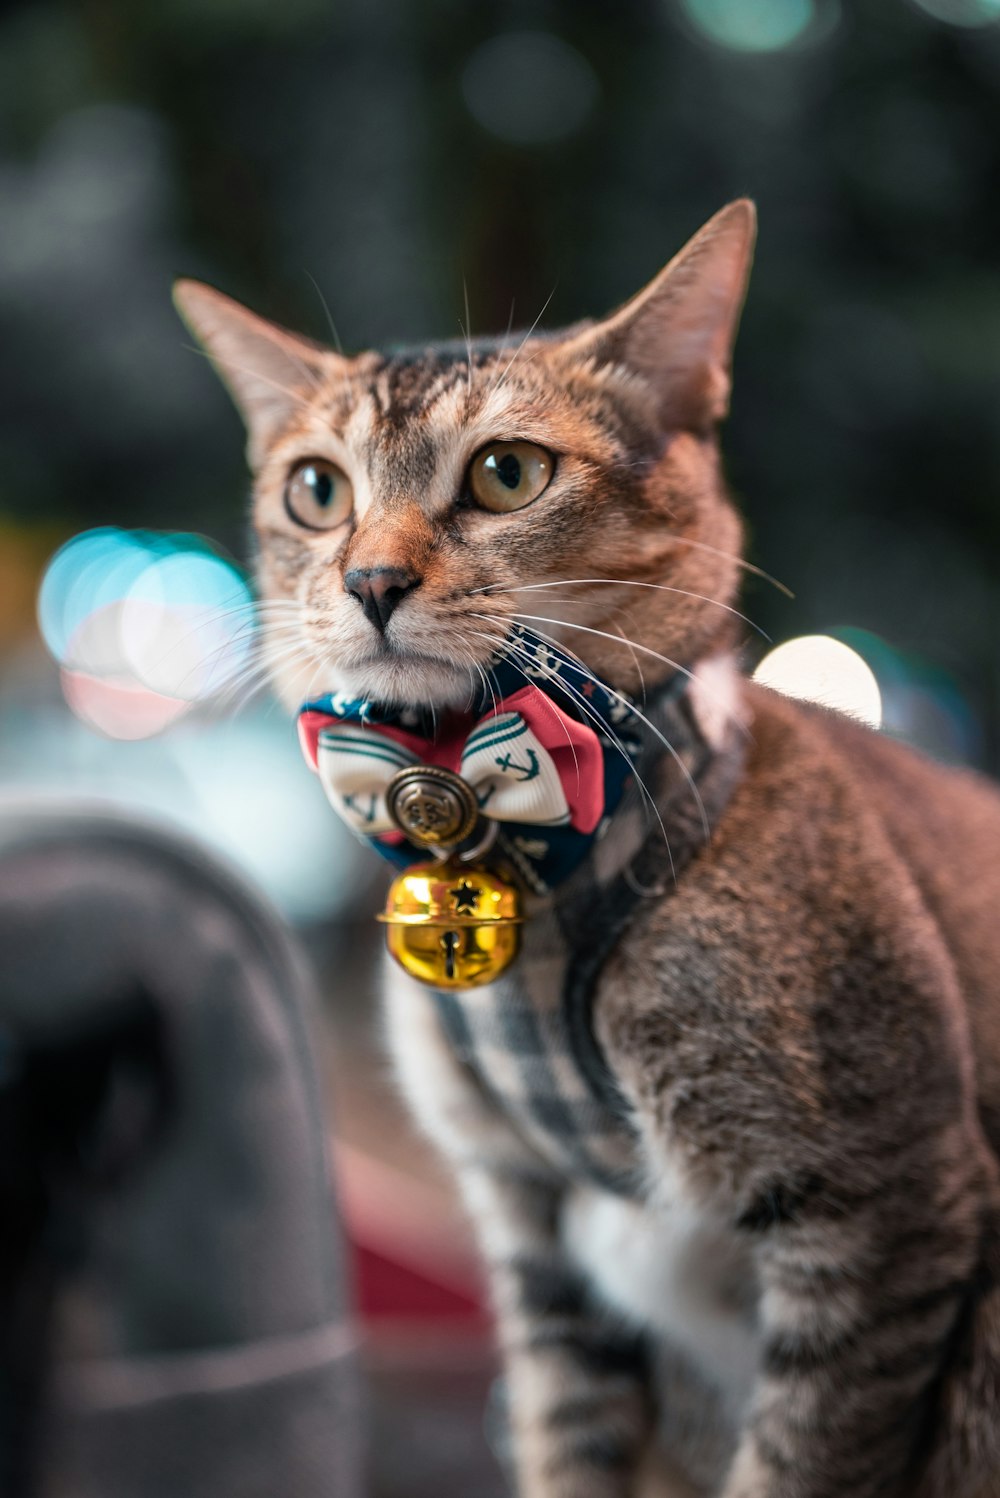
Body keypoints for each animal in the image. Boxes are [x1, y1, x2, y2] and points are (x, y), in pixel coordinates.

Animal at [175, 205, 999, 1498]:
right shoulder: (530, 1235)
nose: (369, 578)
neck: (533, 860)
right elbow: (566, 1445)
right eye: (315, 489)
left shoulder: (887, 1209)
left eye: (507, 472)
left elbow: (800, 1458)